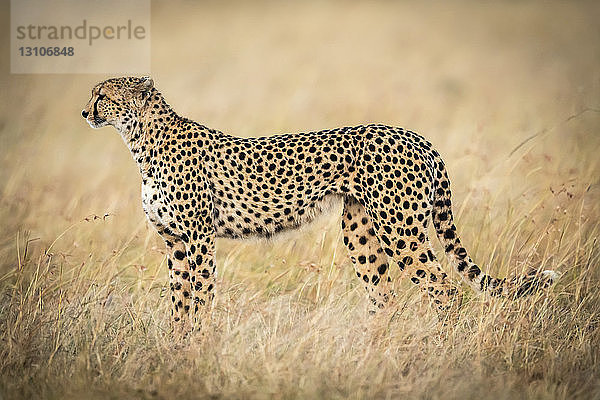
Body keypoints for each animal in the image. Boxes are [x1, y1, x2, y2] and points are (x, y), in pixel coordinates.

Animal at [81, 77, 556, 332]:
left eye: (102, 95)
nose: (84, 112)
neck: (141, 142)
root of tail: (416, 136)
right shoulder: (175, 242)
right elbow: (178, 300)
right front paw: (177, 346)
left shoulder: (199, 237)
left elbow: (199, 296)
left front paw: (197, 344)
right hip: (360, 232)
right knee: (383, 295)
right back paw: (371, 350)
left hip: (400, 230)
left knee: (444, 287)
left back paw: (439, 345)